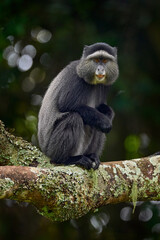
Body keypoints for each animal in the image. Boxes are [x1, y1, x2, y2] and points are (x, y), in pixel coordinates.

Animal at [38, 42, 119, 170]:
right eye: (96, 60)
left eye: (105, 60)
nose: (100, 69)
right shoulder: (74, 78)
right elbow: (66, 105)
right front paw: (105, 121)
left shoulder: (104, 86)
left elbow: (102, 107)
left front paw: (108, 113)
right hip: (51, 149)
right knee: (73, 118)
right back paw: (67, 159)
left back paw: (91, 156)